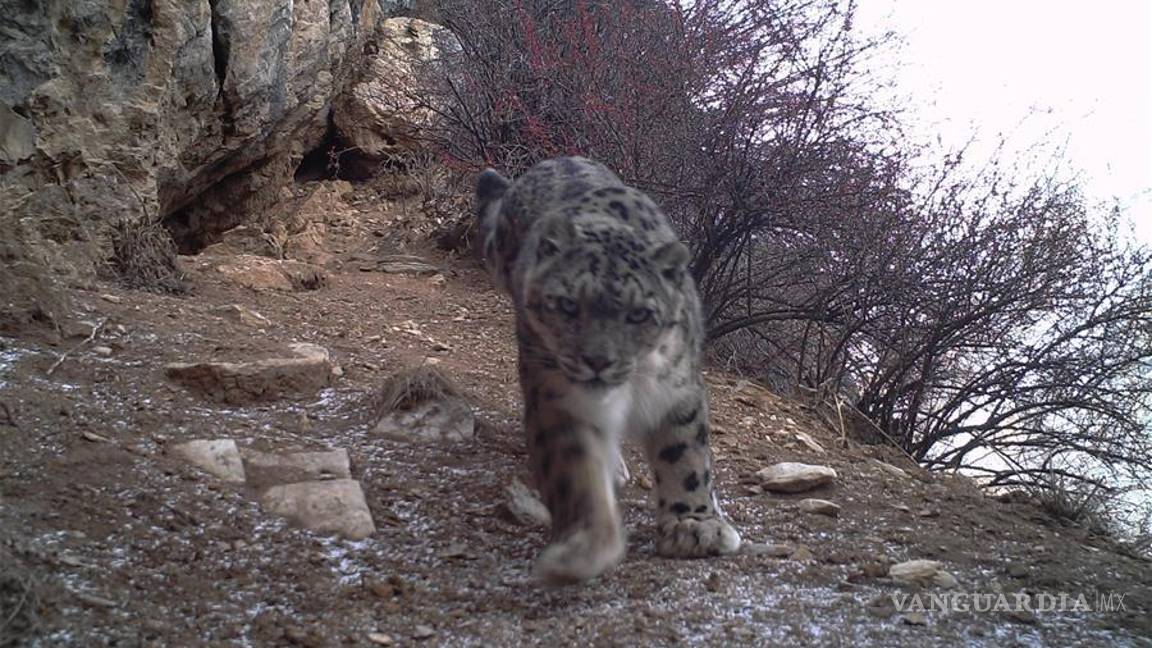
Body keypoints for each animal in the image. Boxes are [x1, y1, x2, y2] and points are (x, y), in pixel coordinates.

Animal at [474, 156, 741, 583]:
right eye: (568, 305)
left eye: (639, 314)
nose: (598, 361)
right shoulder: (555, 397)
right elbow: (575, 469)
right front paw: (583, 547)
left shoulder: (677, 390)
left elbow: (685, 455)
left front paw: (694, 527)